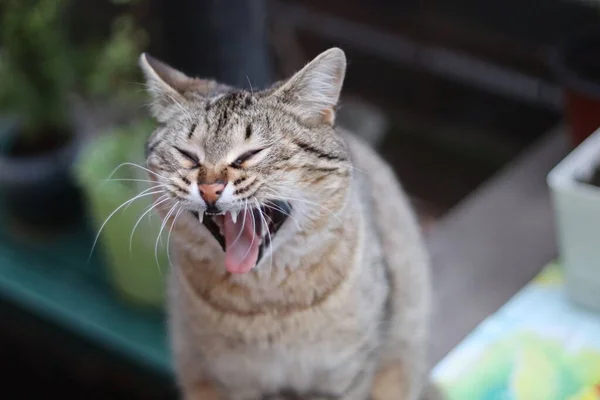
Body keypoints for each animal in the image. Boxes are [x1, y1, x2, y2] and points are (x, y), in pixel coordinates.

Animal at [139, 47, 436, 400]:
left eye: (250, 155)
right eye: (188, 156)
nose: (210, 188)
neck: (269, 303)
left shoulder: (346, 377)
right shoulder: (231, 381)